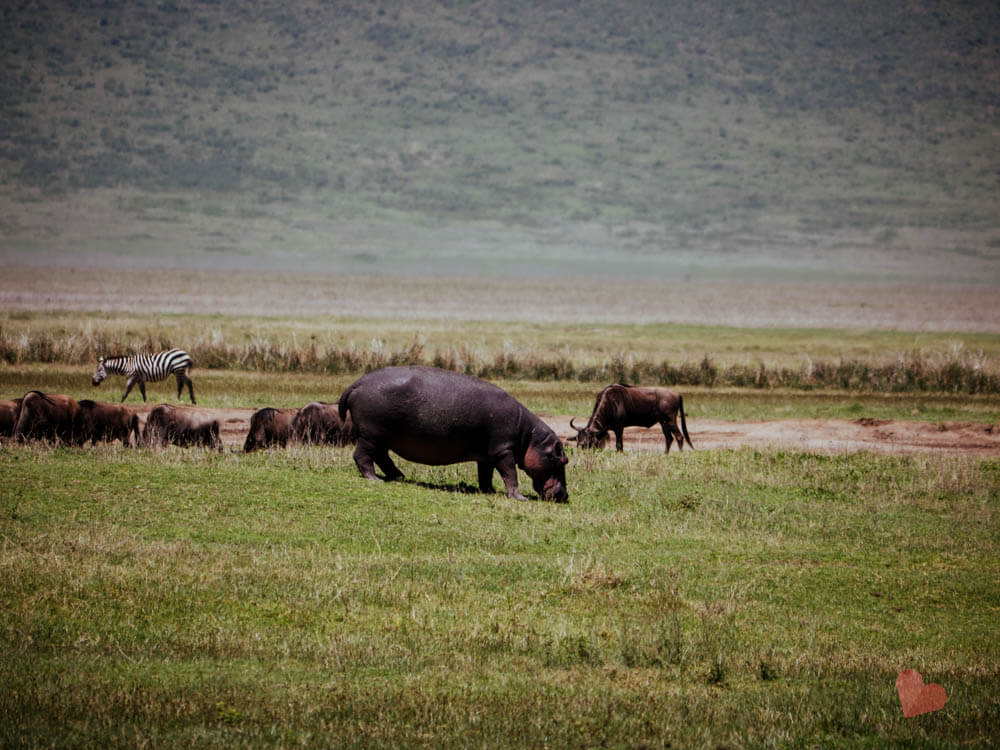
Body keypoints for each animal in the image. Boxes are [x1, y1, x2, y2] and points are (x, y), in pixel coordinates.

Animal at [338, 368, 568, 502]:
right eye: (562, 460)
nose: (565, 495)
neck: (529, 437)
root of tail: (357, 383)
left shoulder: (487, 455)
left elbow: (485, 475)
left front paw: (489, 491)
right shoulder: (503, 451)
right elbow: (510, 474)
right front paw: (519, 498)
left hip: (383, 437)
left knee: (382, 456)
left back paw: (399, 477)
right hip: (371, 435)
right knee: (362, 456)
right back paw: (375, 479)